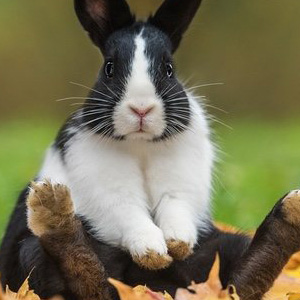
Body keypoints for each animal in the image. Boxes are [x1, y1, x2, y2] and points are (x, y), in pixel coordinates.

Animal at [1, 0, 214, 272]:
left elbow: (176, 209)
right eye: (109, 68)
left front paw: (178, 245)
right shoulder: (110, 195)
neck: (139, 144)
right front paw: (153, 254)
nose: (141, 108)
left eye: (169, 69)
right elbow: (130, 214)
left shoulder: (180, 187)